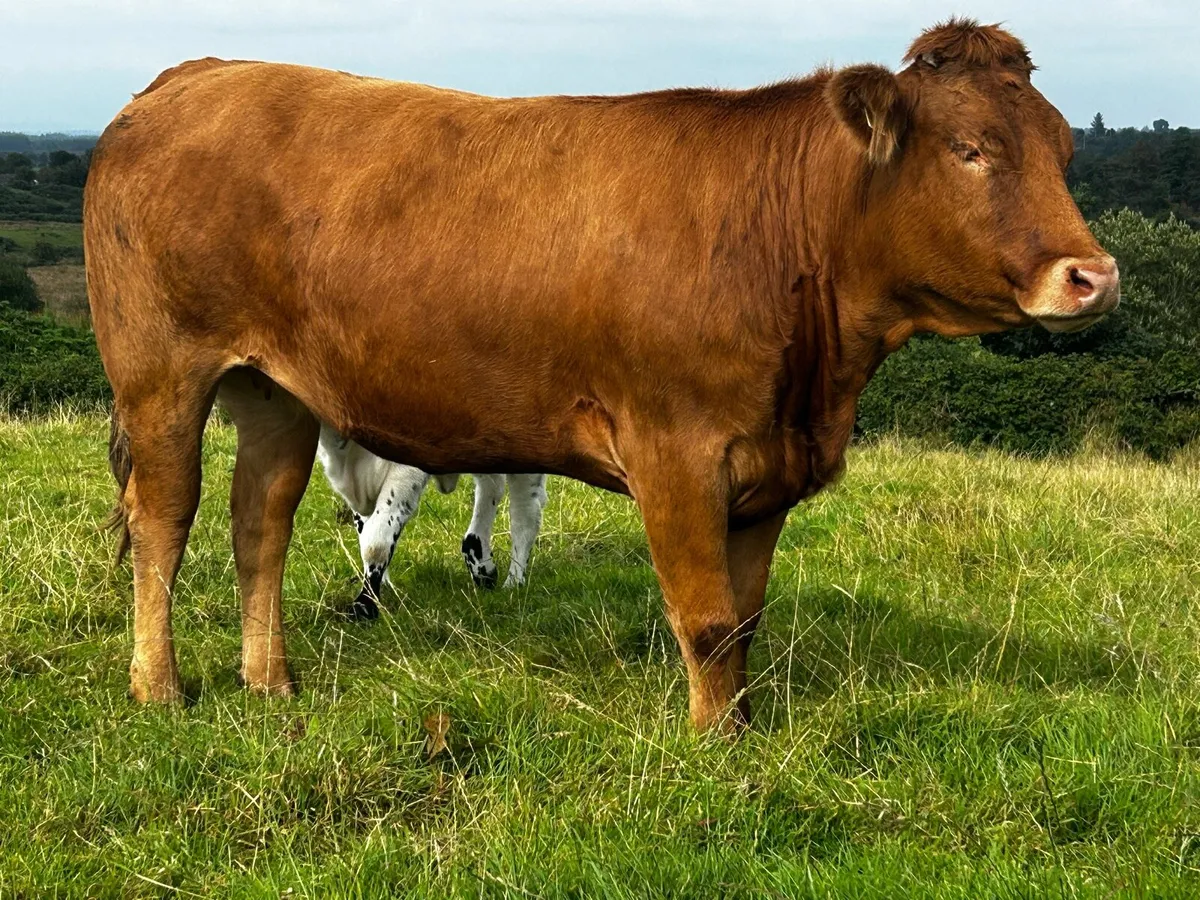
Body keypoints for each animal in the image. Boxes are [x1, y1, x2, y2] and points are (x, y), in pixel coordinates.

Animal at [316, 423, 549, 619]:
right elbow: (366, 532)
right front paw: (381, 588)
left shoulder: (405, 467)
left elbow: (376, 542)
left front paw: (365, 605)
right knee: (492, 486)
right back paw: (482, 566)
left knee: (525, 513)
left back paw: (513, 583)